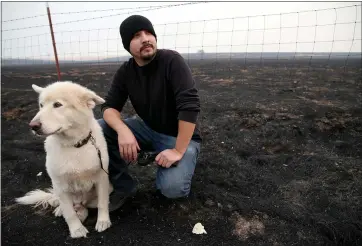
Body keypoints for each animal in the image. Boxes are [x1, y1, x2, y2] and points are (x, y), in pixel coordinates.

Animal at [15, 81, 112, 238]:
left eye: (57, 104)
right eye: (41, 105)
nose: (33, 126)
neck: (74, 145)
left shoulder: (101, 178)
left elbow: (103, 203)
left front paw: (103, 221)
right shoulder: (60, 185)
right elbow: (69, 212)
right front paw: (76, 230)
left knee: (85, 207)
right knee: (68, 205)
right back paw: (62, 210)